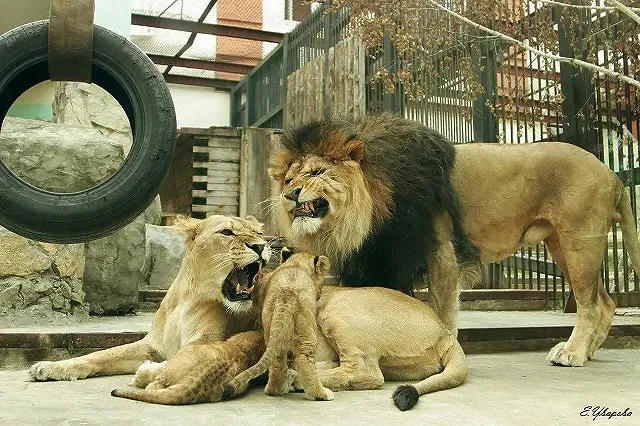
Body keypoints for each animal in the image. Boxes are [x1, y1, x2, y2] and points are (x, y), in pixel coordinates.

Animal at [28, 215, 270, 381]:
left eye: (259, 234)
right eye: (227, 232)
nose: (261, 246)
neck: (189, 299)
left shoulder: (207, 341)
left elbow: (181, 361)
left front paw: (150, 371)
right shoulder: (151, 346)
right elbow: (100, 355)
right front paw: (49, 367)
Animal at [223, 251, 334, 402]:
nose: (320, 295)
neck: (296, 265)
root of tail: (287, 293)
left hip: (271, 325)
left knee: (276, 359)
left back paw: (276, 389)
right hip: (306, 329)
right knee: (304, 358)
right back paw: (321, 394)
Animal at [269, 114, 640, 367]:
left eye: (317, 173)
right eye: (288, 178)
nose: (290, 194)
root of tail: (610, 173)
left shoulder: (441, 253)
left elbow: (443, 311)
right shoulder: (389, 258)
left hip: (580, 240)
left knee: (590, 304)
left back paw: (574, 352)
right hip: (561, 245)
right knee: (606, 302)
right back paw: (588, 351)